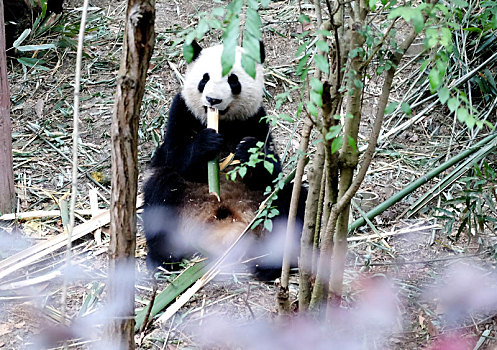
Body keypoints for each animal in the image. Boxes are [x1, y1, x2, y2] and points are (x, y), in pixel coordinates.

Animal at [143, 39, 304, 278]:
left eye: (233, 80)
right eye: (204, 78)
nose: (213, 99)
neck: (224, 123)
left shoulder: (256, 119)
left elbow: (272, 168)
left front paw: (247, 150)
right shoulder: (181, 111)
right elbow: (173, 155)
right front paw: (206, 143)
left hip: (263, 206)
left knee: (291, 199)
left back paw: (270, 263)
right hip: (179, 202)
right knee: (160, 192)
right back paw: (163, 259)